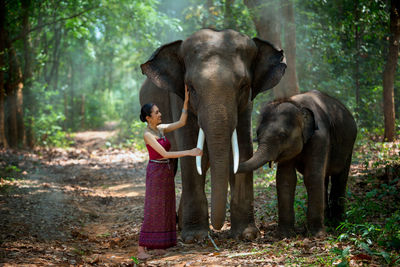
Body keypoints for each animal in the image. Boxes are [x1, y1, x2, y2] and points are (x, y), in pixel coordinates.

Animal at [139, 28, 286, 242]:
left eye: (243, 85)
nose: (217, 229)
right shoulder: (178, 100)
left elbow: (242, 150)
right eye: (190, 87)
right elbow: (190, 156)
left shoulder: (246, 106)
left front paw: (247, 235)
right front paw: (194, 237)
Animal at [239, 91, 358, 238]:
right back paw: (328, 219)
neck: (297, 105)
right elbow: (285, 179)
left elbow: (312, 177)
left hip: (349, 145)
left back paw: (337, 222)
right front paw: (284, 235)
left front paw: (317, 235)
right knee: (323, 179)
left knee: (339, 178)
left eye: (282, 135)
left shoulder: (320, 137)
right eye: (257, 134)